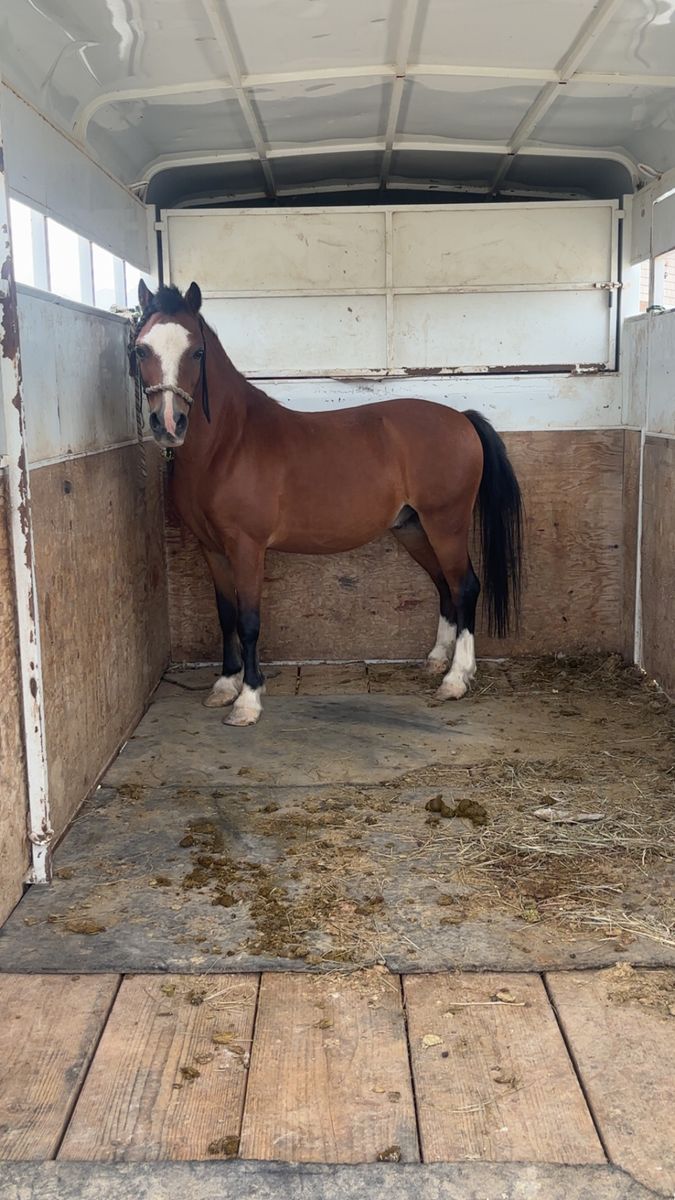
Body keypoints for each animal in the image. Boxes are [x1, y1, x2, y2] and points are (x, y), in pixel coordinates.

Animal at [131, 280, 523, 726]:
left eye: (196, 352)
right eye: (141, 350)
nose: (169, 423)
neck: (229, 445)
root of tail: (461, 418)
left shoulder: (247, 547)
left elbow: (249, 620)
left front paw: (248, 699)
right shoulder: (212, 548)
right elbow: (226, 615)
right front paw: (225, 684)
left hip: (447, 524)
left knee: (465, 587)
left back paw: (457, 679)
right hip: (413, 527)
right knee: (444, 586)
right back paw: (437, 660)